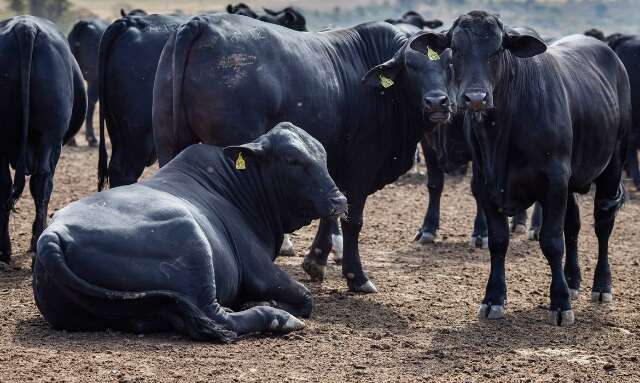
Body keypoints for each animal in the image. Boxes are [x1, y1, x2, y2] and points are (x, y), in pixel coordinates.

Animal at [33, 124, 348, 344]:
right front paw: (268, 303)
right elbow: (305, 297)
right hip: (192, 242)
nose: (339, 200)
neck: (237, 189)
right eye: (292, 160)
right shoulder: (259, 269)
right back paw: (277, 317)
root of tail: (52, 235)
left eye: (323, 155)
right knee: (217, 317)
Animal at [152, 13, 456, 292]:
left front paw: (316, 261)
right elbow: (352, 219)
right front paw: (357, 277)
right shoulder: (362, 165)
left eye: (450, 64)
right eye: (411, 67)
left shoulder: (332, 166)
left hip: (168, 145)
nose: (437, 102)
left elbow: (332, 208)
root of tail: (201, 24)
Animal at [420, 11, 632, 328]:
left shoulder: (553, 180)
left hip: (613, 163)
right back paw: (572, 280)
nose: (475, 98)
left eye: (497, 50)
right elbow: (498, 241)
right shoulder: (485, 183)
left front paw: (560, 304)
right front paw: (493, 299)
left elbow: (552, 241)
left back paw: (601, 286)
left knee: (603, 223)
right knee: (573, 226)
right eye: (455, 50)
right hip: (572, 181)